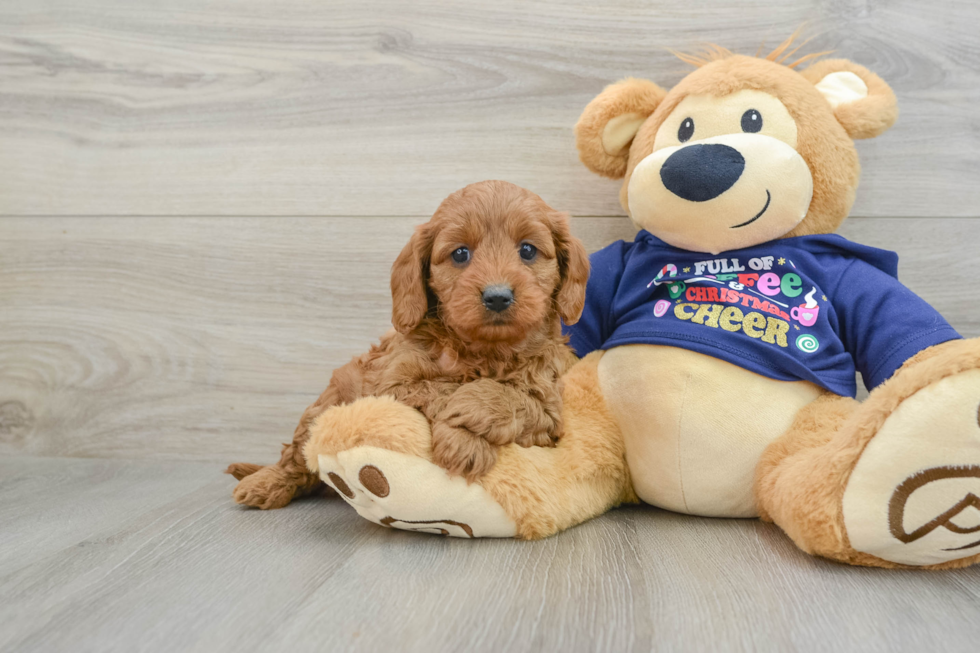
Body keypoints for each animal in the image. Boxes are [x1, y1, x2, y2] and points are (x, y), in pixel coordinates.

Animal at [226, 180, 584, 510]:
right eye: (460, 254)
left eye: (527, 250)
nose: (497, 296)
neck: (483, 349)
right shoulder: (389, 385)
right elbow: (441, 387)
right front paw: (463, 441)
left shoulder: (550, 410)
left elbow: (513, 397)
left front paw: (463, 434)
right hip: (325, 404)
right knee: (296, 455)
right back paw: (265, 483)